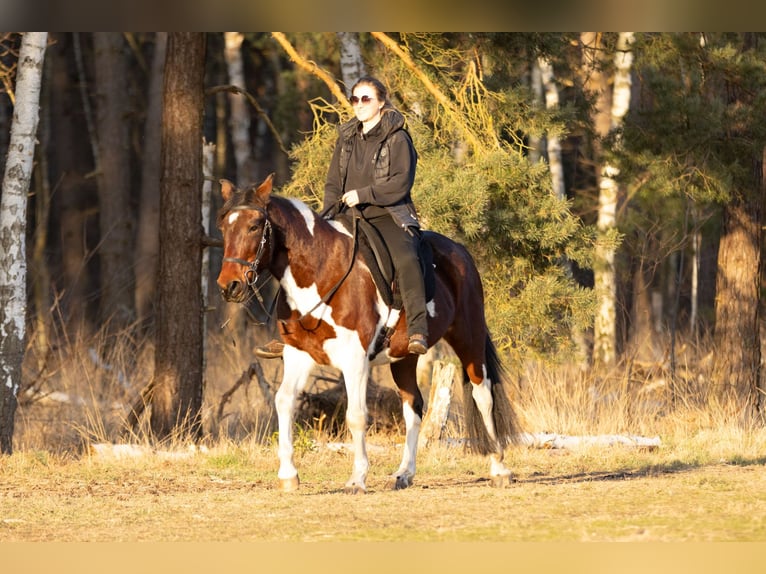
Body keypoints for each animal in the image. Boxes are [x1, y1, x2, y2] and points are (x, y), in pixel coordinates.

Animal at [219, 176, 524, 496]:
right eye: (223, 226)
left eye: (255, 225)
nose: (229, 285)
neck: (322, 271)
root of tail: (460, 252)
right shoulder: (297, 355)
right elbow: (284, 401)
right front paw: (289, 475)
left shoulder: (355, 359)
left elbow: (356, 416)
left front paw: (357, 479)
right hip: (404, 357)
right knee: (413, 407)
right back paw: (404, 474)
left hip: (469, 337)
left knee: (483, 394)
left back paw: (499, 467)